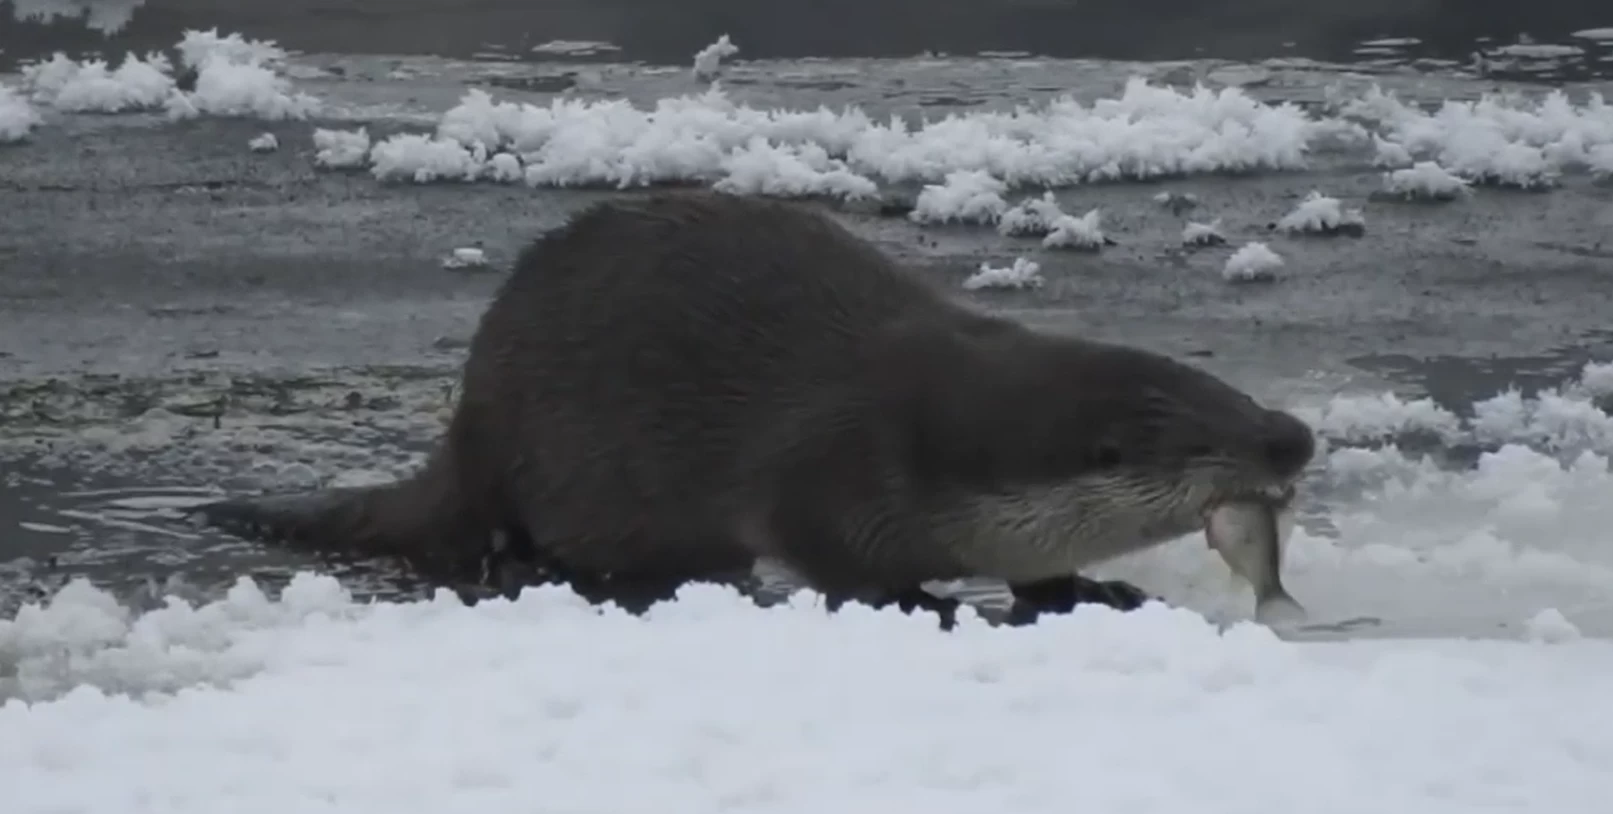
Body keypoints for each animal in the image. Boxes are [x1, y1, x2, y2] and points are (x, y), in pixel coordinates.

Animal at [195, 191, 1316, 628]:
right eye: (1218, 434)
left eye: (1235, 396)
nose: (1295, 437)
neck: (937, 449)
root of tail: (464, 417)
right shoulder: (828, 475)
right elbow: (836, 560)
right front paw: (930, 602)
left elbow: (1040, 571)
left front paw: (1088, 590)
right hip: (517, 445)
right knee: (496, 527)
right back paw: (528, 565)